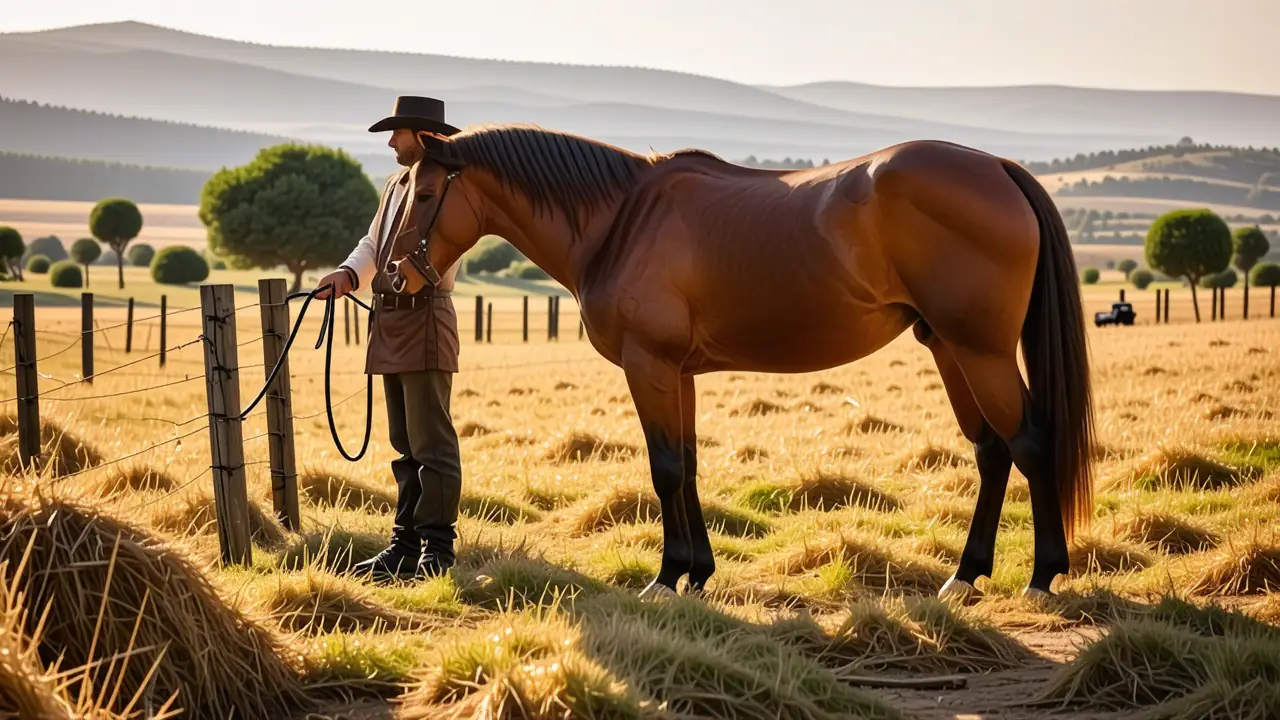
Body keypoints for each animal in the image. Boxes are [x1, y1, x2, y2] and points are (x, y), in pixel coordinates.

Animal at [383, 123, 1095, 603]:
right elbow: (690, 466)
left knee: (1030, 444)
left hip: (981, 351)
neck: (622, 220)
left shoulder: (648, 365)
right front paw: (698, 573)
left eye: (425, 193)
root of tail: (997, 166)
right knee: (991, 451)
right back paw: (966, 575)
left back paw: (1041, 577)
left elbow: (666, 469)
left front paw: (667, 576)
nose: (392, 276)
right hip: (948, 346)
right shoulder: (679, 373)